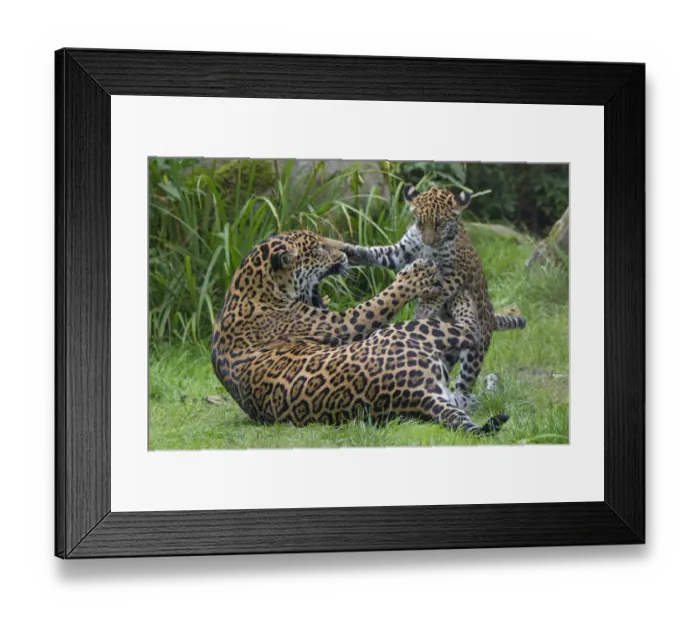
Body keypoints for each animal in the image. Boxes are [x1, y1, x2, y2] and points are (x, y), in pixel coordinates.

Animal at [211, 230, 508, 434]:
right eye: (317, 246)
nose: (344, 250)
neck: (253, 288)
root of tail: (418, 394)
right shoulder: (343, 323)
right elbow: (381, 301)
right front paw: (415, 276)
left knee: (466, 392)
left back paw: (492, 383)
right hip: (410, 331)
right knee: (471, 331)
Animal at [343, 184, 526, 408]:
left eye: (440, 224)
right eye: (420, 224)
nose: (428, 242)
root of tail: (491, 317)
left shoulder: (458, 269)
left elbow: (444, 287)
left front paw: (424, 308)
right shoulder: (401, 252)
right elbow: (379, 253)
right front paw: (354, 252)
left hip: (475, 349)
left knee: (466, 381)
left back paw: (464, 398)